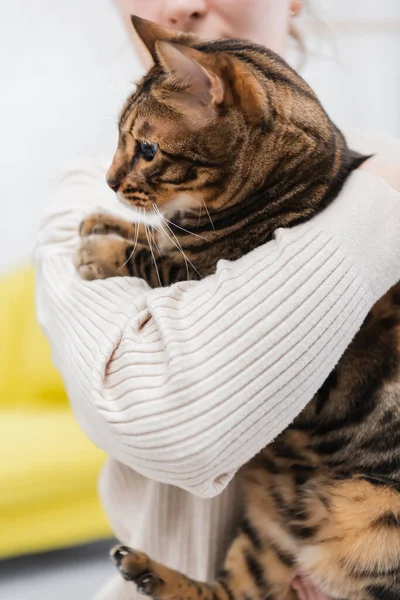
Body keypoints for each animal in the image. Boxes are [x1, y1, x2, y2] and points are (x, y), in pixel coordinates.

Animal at [76, 15, 400, 600]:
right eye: (118, 140)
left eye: (148, 150)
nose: (109, 181)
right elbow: (155, 233)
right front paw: (100, 220)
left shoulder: (205, 274)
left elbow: (155, 259)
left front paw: (102, 249)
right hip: (264, 542)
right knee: (229, 593)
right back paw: (147, 570)